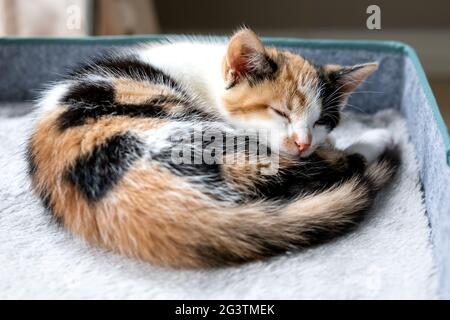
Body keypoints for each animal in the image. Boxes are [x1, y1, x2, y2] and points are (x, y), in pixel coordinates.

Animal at [26, 28, 400, 268]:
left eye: (322, 120)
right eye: (280, 112)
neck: (209, 76)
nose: (303, 141)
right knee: (328, 168)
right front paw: (370, 136)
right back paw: (378, 139)